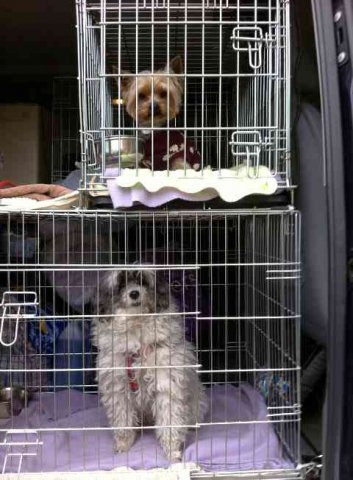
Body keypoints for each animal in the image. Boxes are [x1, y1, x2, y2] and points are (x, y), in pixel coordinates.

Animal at [92, 270, 208, 462]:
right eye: (121, 284)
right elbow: (122, 421)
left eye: (143, 281)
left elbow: (170, 421)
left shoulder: (166, 385)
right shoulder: (117, 388)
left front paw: (172, 450)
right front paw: (123, 444)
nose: (134, 293)